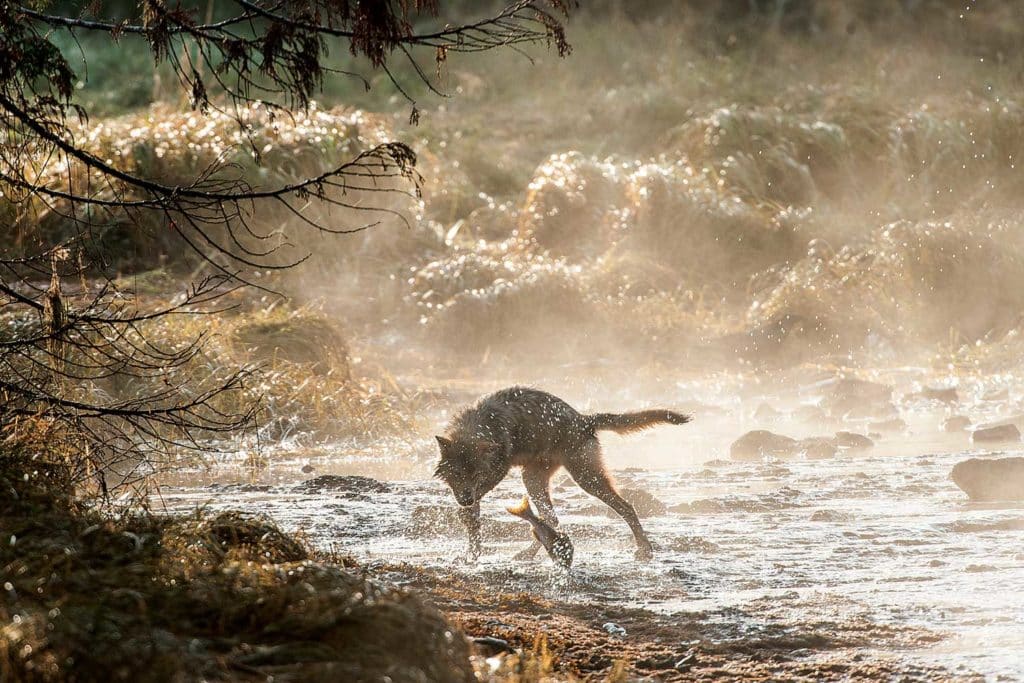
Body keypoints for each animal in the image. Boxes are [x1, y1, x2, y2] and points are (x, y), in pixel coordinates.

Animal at [432, 387, 688, 565]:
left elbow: (475, 508)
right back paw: (527, 553)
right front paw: (470, 555)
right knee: (550, 521)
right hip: (533, 480)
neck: (482, 424)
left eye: (477, 474)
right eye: (457, 473)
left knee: (626, 507)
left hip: (586, 479)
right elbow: (474, 525)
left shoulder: (497, 471)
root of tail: (584, 419)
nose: (466, 499)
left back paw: (644, 549)